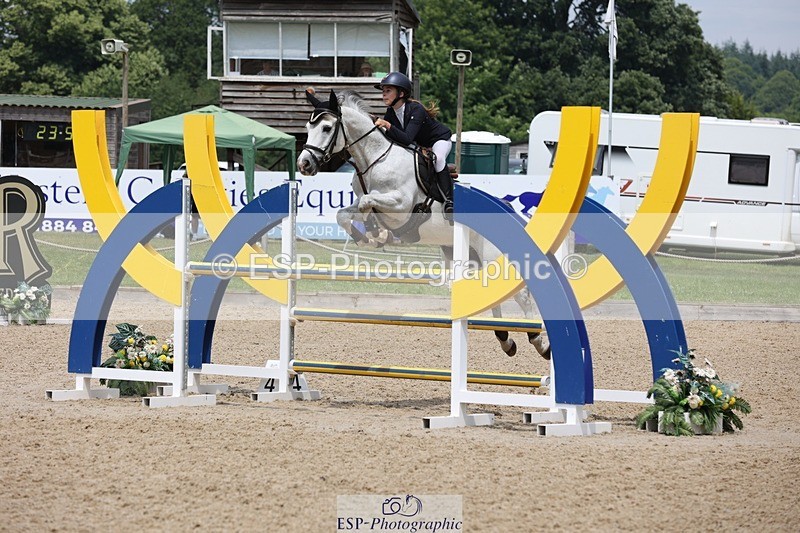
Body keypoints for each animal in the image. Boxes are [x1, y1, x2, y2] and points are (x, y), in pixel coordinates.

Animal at [296, 90, 550, 360]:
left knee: (522, 296)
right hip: (470, 256)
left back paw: (539, 342)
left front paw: (377, 233)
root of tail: (508, 210)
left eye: (326, 127)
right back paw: (505, 339)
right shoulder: (366, 204)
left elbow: (368, 203)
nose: (304, 165)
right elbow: (344, 214)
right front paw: (366, 237)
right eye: (307, 128)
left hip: (492, 255)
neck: (375, 160)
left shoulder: (400, 206)